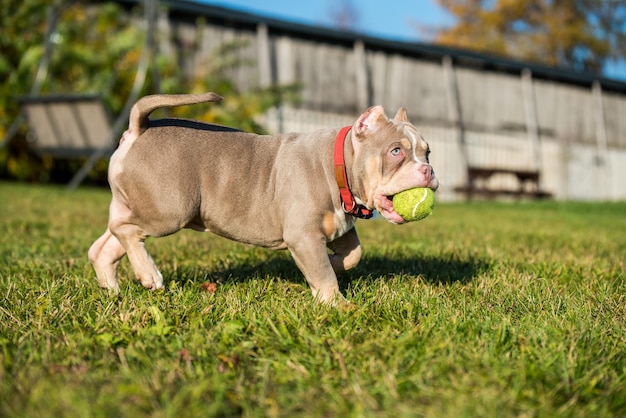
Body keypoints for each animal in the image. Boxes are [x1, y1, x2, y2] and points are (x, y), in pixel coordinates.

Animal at [88, 93, 438, 304]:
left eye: (428, 151)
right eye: (396, 151)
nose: (428, 170)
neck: (339, 165)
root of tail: (140, 128)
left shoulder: (339, 227)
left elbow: (353, 255)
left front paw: (335, 265)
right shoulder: (303, 234)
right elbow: (323, 272)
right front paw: (335, 303)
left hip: (141, 204)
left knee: (108, 242)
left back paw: (112, 288)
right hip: (169, 210)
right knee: (126, 230)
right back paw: (149, 275)